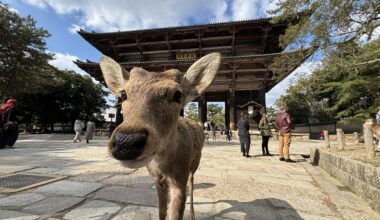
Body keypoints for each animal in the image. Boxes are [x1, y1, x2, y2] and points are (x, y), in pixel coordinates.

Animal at [99, 53, 221, 220]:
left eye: (177, 94)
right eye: (123, 94)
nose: (127, 142)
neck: (164, 166)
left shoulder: (179, 178)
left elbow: (174, 213)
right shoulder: (157, 180)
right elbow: (162, 211)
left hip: (196, 161)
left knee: (192, 182)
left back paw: (193, 214)